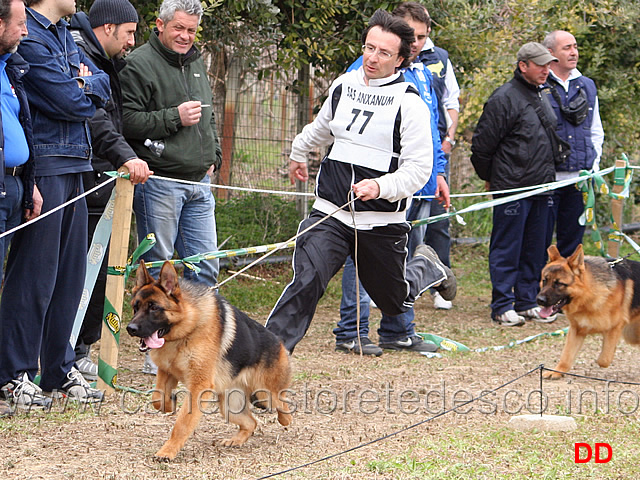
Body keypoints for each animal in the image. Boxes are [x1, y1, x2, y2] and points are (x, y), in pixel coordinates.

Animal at [125, 260, 296, 460]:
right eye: (135, 307)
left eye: (154, 308)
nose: (130, 328)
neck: (187, 328)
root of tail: (280, 344)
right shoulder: (166, 372)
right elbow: (157, 398)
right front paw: (169, 403)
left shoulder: (198, 387)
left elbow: (182, 423)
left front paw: (167, 451)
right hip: (229, 407)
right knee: (251, 422)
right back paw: (236, 440)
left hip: (265, 394)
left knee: (283, 406)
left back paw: (285, 419)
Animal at [536, 246, 640, 380]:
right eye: (544, 280)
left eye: (559, 284)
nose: (539, 300)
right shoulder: (576, 330)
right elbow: (566, 355)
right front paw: (557, 371)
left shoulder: (615, 328)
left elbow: (604, 359)